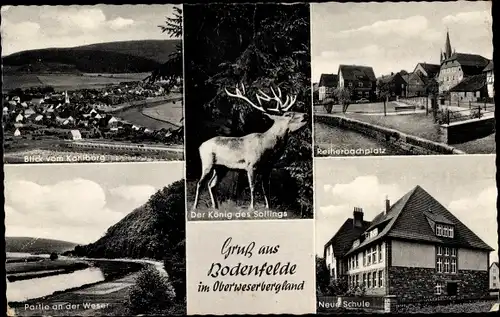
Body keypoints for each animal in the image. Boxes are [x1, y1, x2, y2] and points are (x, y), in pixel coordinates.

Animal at [191, 82, 308, 210]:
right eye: (288, 114)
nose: (305, 114)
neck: (268, 147)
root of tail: (200, 146)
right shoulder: (251, 165)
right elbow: (252, 186)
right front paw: (252, 207)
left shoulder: (268, 168)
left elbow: (266, 188)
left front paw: (268, 207)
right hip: (207, 162)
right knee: (200, 183)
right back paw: (195, 207)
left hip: (222, 167)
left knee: (211, 184)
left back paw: (215, 207)